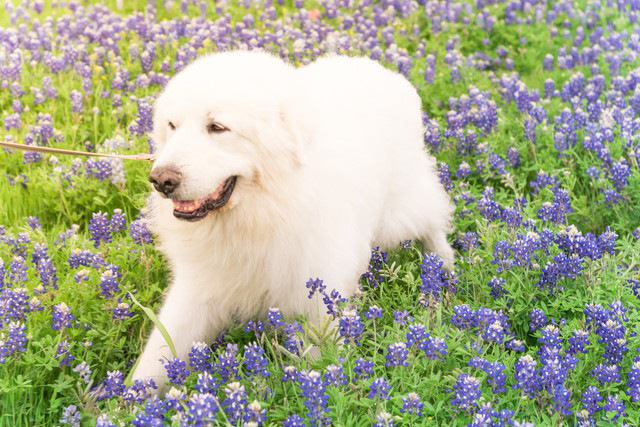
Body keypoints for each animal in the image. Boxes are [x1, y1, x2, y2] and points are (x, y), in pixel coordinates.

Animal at [132, 50, 456, 388]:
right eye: (172, 125)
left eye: (217, 127)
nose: (161, 180)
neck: (261, 212)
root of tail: (377, 68)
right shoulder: (201, 288)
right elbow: (159, 353)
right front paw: (132, 395)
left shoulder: (315, 291)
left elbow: (320, 357)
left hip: (401, 210)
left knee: (433, 221)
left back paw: (444, 267)